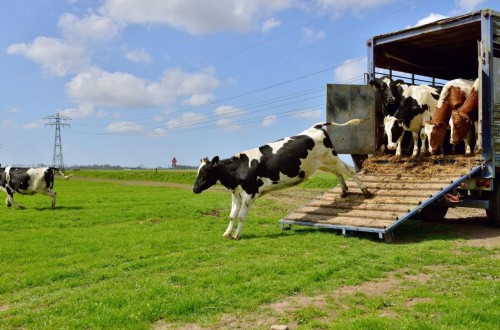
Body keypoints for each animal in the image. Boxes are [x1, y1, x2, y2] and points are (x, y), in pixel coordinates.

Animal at [193, 118, 374, 240]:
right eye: (198, 172)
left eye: (205, 173)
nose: (194, 189)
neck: (237, 170)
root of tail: (315, 127)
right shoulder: (236, 195)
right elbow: (232, 216)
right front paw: (227, 233)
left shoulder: (249, 194)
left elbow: (240, 217)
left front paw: (237, 235)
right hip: (321, 163)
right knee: (338, 172)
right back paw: (344, 191)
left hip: (330, 157)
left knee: (349, 170)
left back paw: (365, 191)